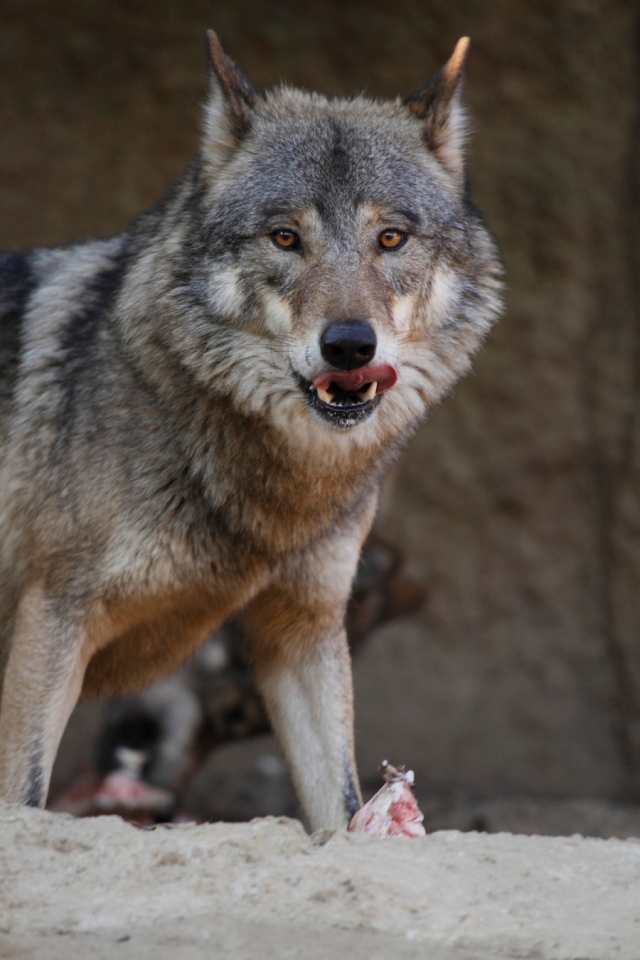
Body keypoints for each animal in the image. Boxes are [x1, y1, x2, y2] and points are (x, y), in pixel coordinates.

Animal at [0, 31, 502, 832]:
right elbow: (25, 799)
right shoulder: (53, 617)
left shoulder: (302, 632)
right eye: (285, 237)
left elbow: (340, 808)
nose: (349, 345)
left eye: (390, 238)